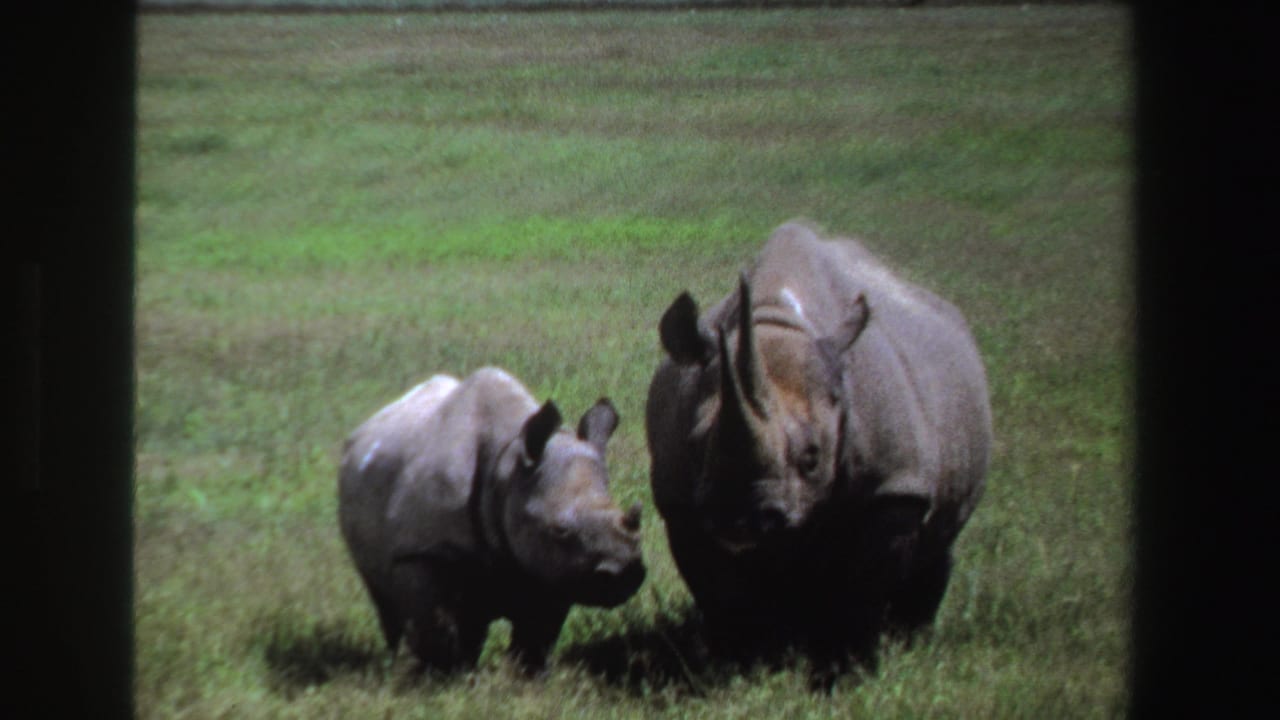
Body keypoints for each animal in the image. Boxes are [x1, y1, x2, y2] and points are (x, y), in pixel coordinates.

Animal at [338, 367, 646, 673]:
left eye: (634, 516)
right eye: (560, 530)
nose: (623, 571)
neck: (509, 466)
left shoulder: (554, 567)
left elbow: (537, 632)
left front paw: (526, 675)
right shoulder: (422, 551)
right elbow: (436, 625)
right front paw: (444, 676)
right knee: (386, 600)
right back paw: (398, 662)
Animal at [645, 222, 991, 674]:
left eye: (812, 456)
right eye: (695, 445)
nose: (741, 519)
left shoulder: (893, 486)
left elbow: (864, 587)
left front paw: (849, 668)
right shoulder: (681, 503)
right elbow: (718, 590)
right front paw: (742, 664)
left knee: (938, 544)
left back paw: (911, 639)